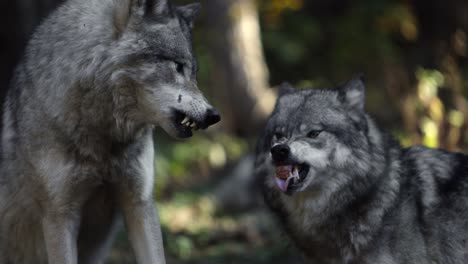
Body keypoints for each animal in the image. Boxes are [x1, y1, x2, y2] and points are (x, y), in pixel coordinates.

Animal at [0, 0, 220, 262]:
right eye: (178, 66)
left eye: (195, 73)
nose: (214, 115)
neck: (103, 139)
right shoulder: (59, 217)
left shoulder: (140, 204)